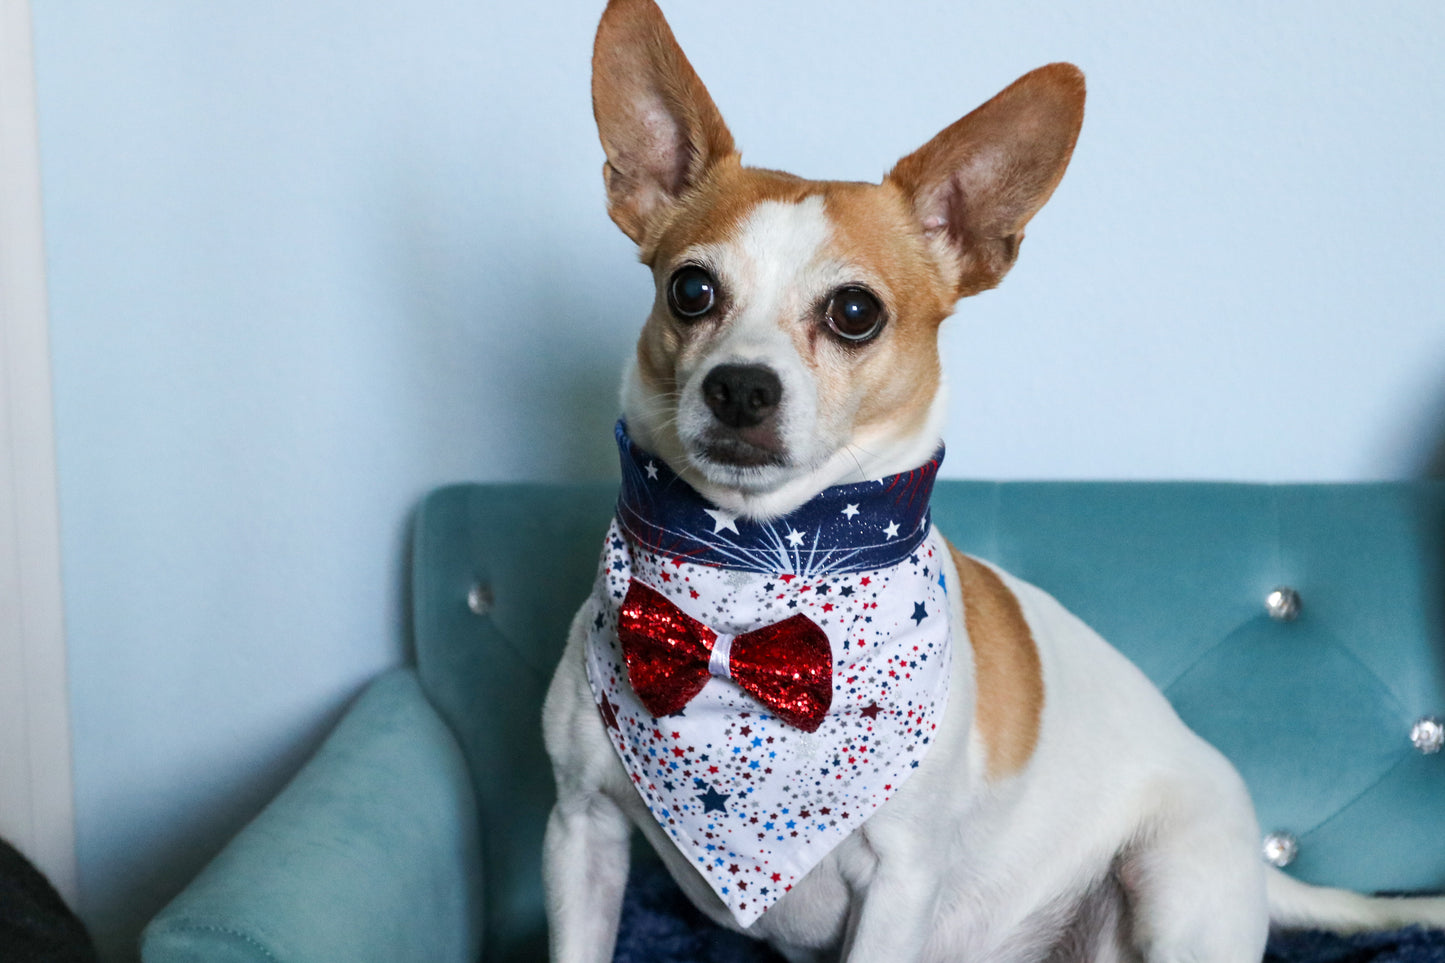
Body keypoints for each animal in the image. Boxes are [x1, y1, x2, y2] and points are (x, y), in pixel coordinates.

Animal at [540, 3, 1445, 954]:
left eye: (854, 312)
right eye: (690, 290)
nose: (740, 385)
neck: (752, 574)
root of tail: (1259, 865)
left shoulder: (898, 882)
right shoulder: (580, 830)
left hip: (1173, 882)